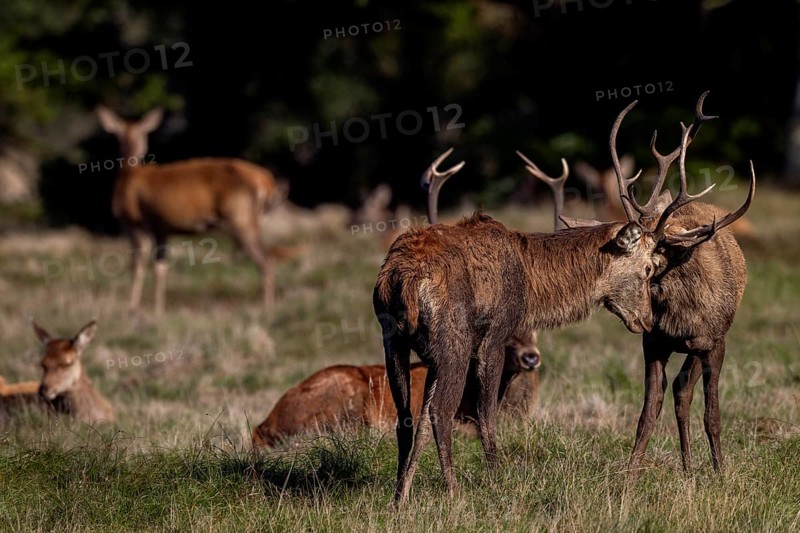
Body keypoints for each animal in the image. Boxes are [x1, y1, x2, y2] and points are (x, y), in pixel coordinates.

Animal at [95, 106, 281, 316]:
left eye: (142, 133)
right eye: (120, 135)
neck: (128, 175)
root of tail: (266, 181)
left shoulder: (136, 223)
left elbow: (137, 267)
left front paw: (132, 309)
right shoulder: (162, 229)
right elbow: (161, 268)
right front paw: (158, 310)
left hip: (241, 218)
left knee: (266, 261)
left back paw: (266, 309)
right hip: (252, 219)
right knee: (269, 258)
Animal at [561, 92, 755, 475]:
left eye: (649, 265)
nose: (641, 317)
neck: (681, 315)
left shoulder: (715, 341)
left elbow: (713, 414)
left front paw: (721, 472)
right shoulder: (654, 343)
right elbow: (647, 414)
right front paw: (630, 476)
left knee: (685, 392)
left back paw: (696, 467)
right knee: (680, 391)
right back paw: (687, 466)